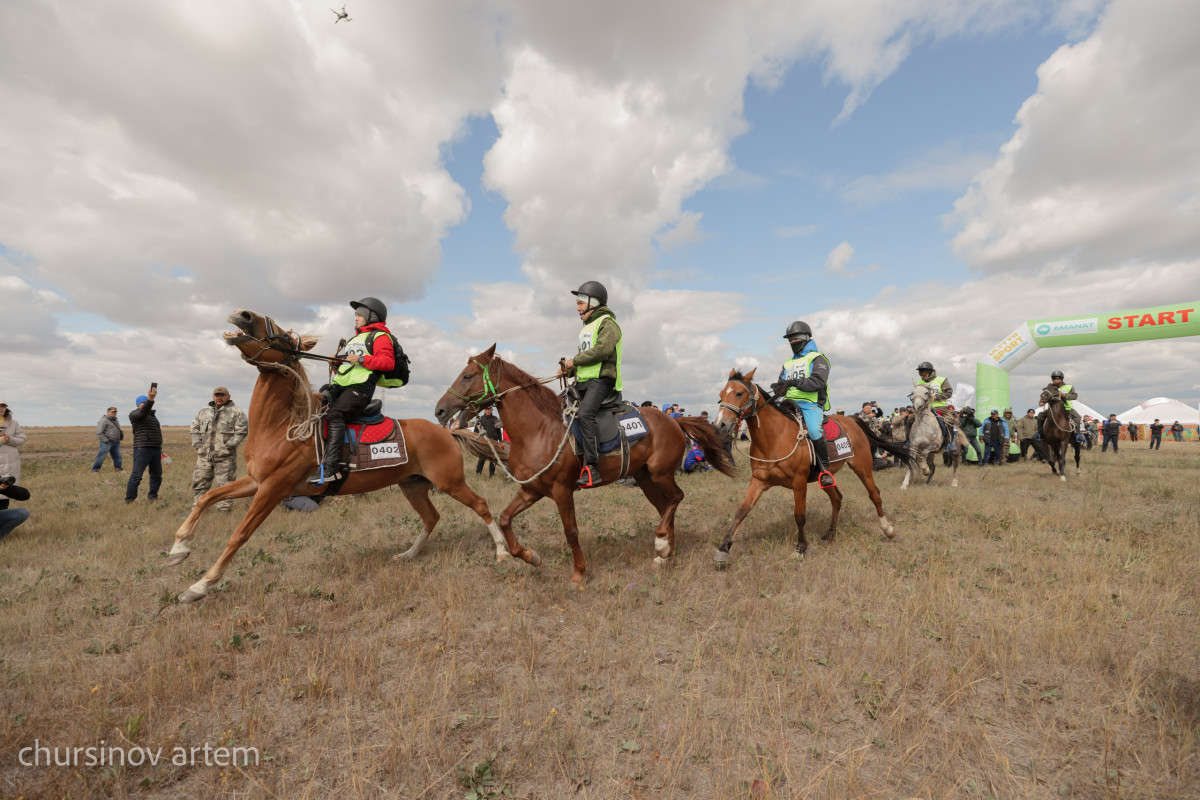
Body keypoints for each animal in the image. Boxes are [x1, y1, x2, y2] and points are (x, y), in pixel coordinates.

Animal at [164, 309, 540, 604]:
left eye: (284, 335)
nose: (243, 314)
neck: (284, 426)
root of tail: (445, 430)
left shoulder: (273, 488)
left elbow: (238, 535)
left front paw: (200, 585)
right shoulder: (255, 481)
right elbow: (207, 497)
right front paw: (179, 549)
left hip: (449, 482)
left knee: (480, 505)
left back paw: (501, 551)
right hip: (412, 485)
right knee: (431, 518)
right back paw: (408, 554)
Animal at [429, 347, 729, 585]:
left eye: (468, 376)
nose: (440, 410)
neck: (539, 431)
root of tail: (674, 421)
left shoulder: (562, 490)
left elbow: (571, 532)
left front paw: (579, 572)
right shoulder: (532, 490)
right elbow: (504, 519)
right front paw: (531, 557)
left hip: (661, 473)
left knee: (676, 498)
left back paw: (661, 543)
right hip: (645, 478)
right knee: (665, 506)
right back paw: (666, 553)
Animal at [705, 371, 912, 563]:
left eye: (739, 393)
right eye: (721, 394)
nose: (719, 425)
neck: (775, 437)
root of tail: (852, 420)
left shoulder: (799, 483)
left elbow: (800, 516)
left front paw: (801, 548)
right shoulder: (759, 480)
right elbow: (742, 510)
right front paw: (723, 548)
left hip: (863, 467)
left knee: (874, 494)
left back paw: (888, 529)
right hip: (826, 477)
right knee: (837, 499)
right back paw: (831, 533)